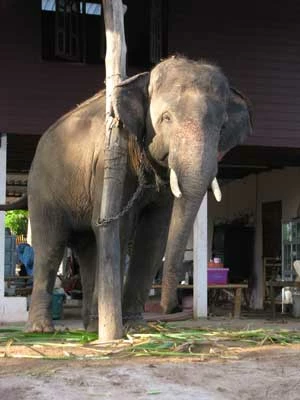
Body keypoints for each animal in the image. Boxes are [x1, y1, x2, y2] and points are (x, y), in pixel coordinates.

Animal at [1, 55, 251, 332]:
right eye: (166, 118)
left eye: (222, 127)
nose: (172, 307)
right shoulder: (109, 161)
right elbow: (118, 227)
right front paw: (121, 326)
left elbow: (154, 234)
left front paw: (136, 327)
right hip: (42, 189)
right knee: (50, 246)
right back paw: (42, 329)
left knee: (88, 248)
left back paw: (90, 328)